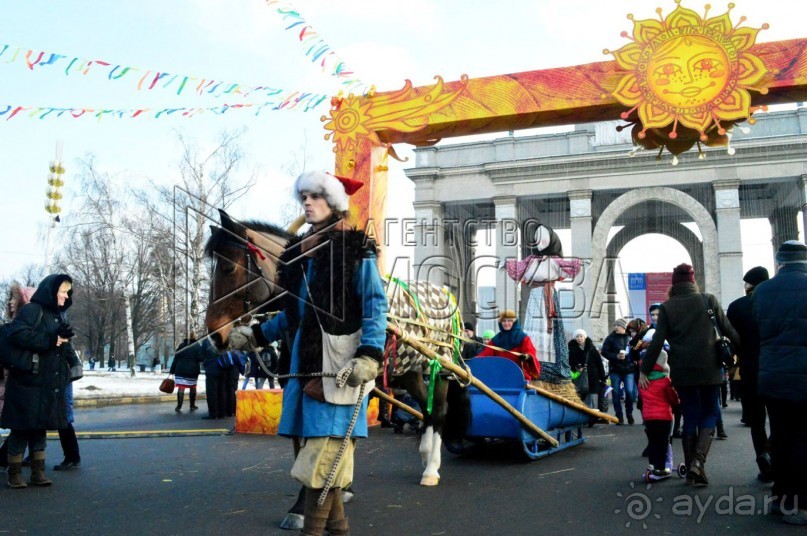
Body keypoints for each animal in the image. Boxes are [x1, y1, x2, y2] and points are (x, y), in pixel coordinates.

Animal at [205, 210, 464, 528]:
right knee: (425, 409)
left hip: (439, 362)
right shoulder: (299, 379)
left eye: (228, 267)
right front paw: (313, 499)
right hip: (407, 370)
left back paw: (431, 469)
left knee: (438, 410)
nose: (215, 336)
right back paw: (426, 454)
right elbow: (301, 439)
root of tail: (445, 293)